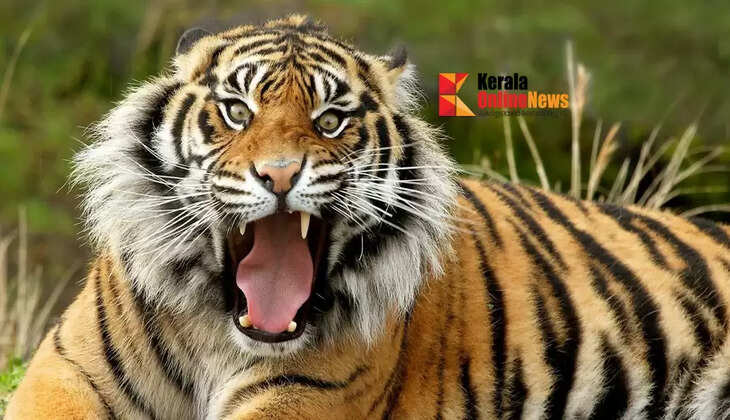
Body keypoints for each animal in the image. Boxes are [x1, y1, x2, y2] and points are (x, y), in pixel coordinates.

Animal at [7, 14, 730, 420]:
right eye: (237, 112)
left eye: (331, 120)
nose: (279, 175)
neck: (218, 332)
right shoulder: (63, 377)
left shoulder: (305, 398)